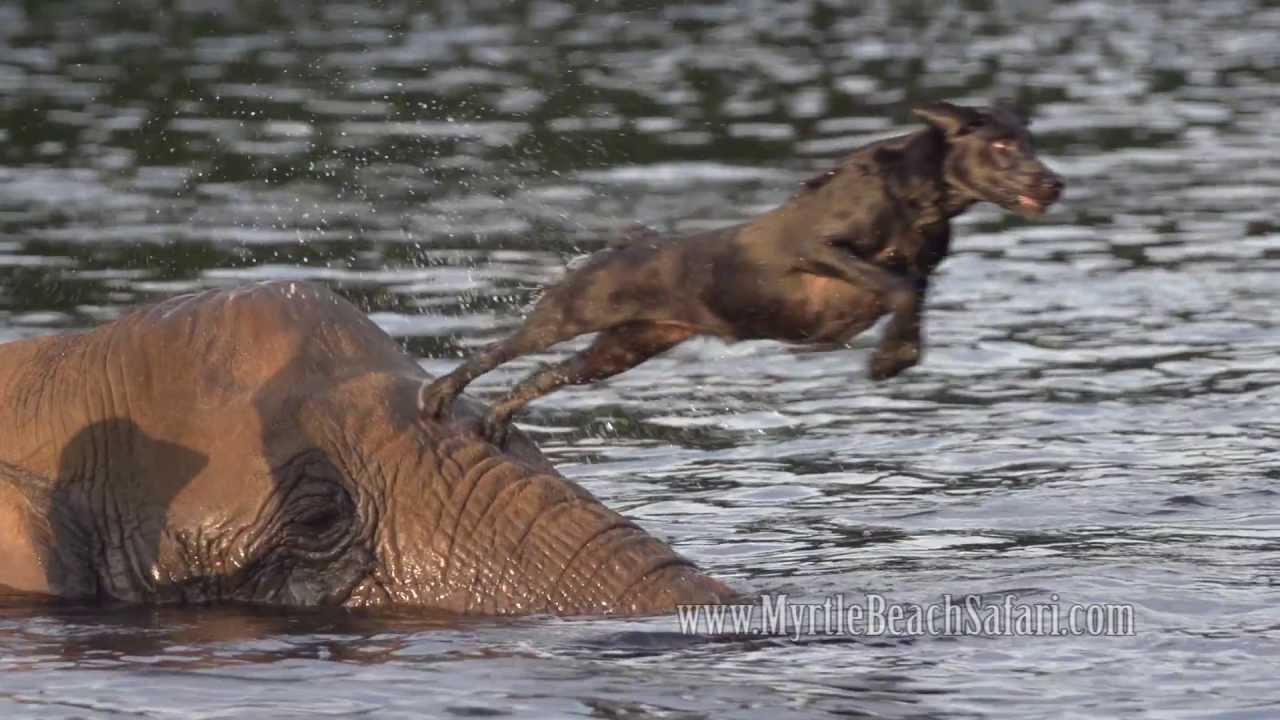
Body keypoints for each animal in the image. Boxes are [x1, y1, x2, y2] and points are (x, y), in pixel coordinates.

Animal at [417, 98, 1059, 440]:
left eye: (1029, 141)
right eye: (1001, 147)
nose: (1054, 183)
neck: (920, 195)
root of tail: (622, 244)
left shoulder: (922, 267)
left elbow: (913, 292)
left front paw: (899, 353)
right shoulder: (818, 249)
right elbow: (897, 287)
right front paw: (888, 360)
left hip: (624, 348)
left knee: (545, 375)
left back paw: (496, 421)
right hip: (572, 311)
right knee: (498, 350)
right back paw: (438, 395)